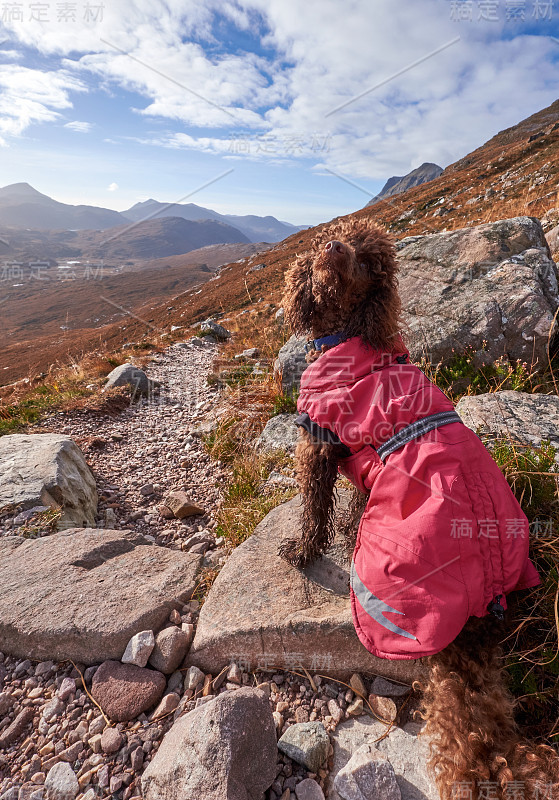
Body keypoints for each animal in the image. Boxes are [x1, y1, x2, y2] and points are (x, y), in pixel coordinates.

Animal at [280, 217, 559, 800]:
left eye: (366, 262)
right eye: (335, 239)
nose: (333, 248)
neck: (350, 337)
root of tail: (489, 590)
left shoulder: (318, 439)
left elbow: (314, 506)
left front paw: (303, 549)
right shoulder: (360, 460)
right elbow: (352, 500)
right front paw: (344, 527)